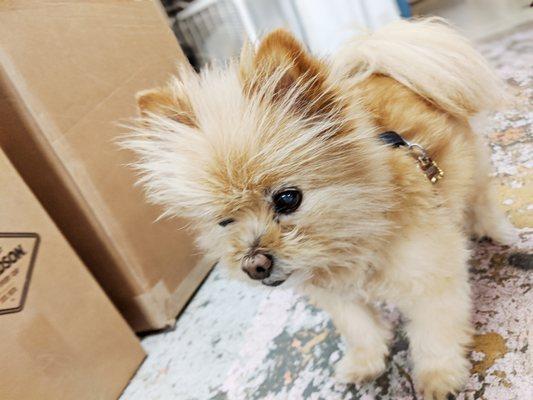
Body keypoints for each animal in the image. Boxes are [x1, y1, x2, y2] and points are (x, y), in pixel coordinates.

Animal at [123, 18, 512, 400]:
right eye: (223, 222)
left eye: (287, 198)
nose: (254, 265)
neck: (353, 239)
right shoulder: (336, 295)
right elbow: (358, 328)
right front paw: (364, 361)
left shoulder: (431, 280)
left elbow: (434, 334)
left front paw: (438, 377)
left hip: (473, 169)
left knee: (481, 198)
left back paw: (497, 230)